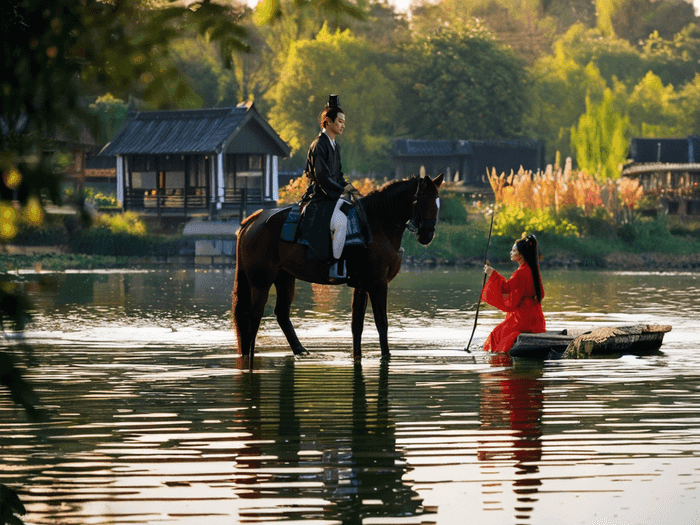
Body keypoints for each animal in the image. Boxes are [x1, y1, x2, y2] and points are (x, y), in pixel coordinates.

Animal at [234, 172, 442, 360]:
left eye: (438, 202)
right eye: (424, 200)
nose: (427, 235)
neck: (377, 224)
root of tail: (253, 220)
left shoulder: (362, 286)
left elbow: (357, 325)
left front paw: (357, 355)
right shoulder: (378, 284)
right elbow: (381, 322)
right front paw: (386, 355)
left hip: (284, 278)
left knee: (281, 314)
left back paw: (300, 351)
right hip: (261, 282)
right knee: (253, 316)